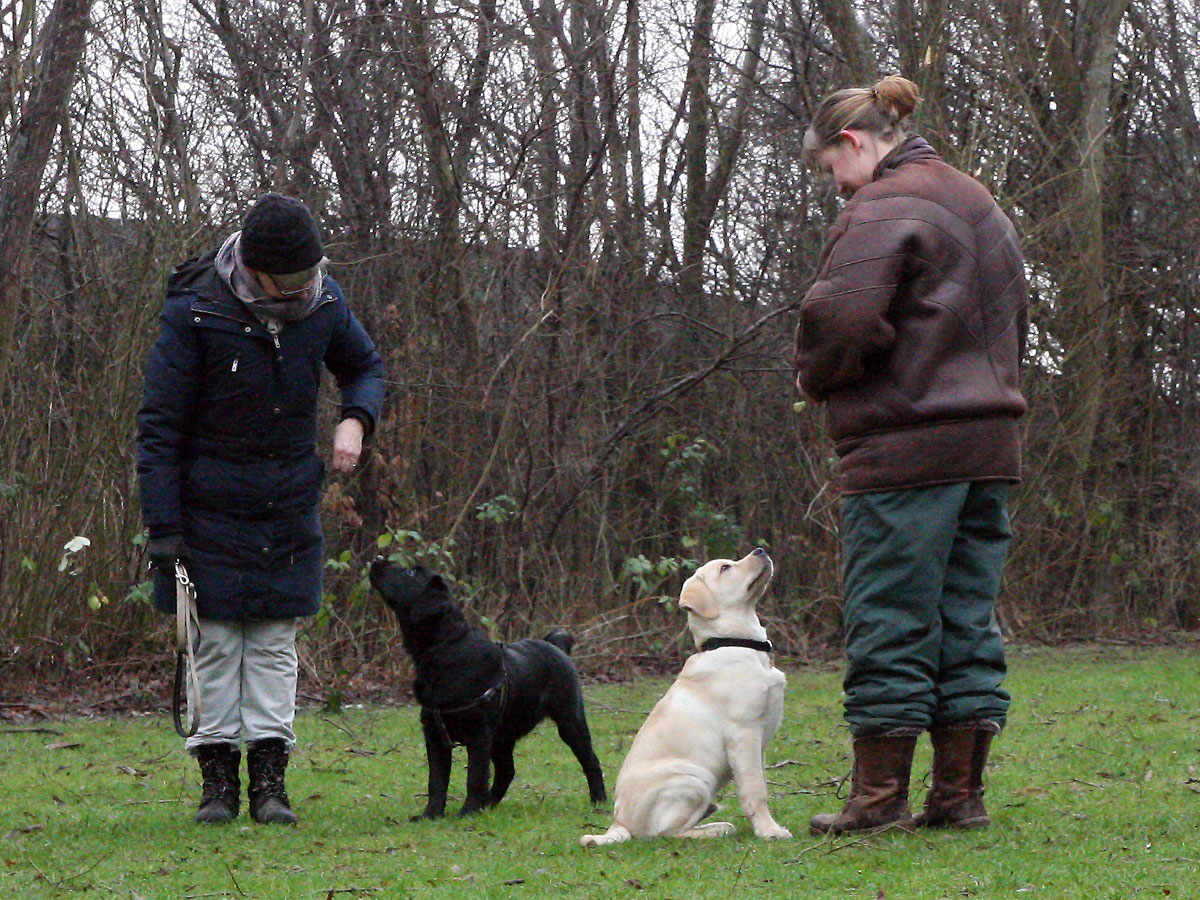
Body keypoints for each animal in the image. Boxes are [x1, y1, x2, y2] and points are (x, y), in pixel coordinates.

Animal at [583, 547, 792, 849]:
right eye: (725, 568)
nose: (760, 550)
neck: (733, 642)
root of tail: (619, 823)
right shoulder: (744, 734)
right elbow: (756, 790)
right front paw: (770, 831)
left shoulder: (759, 742)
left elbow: (758, 782)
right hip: (694, 777)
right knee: (665, 833)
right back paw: (715, 828)